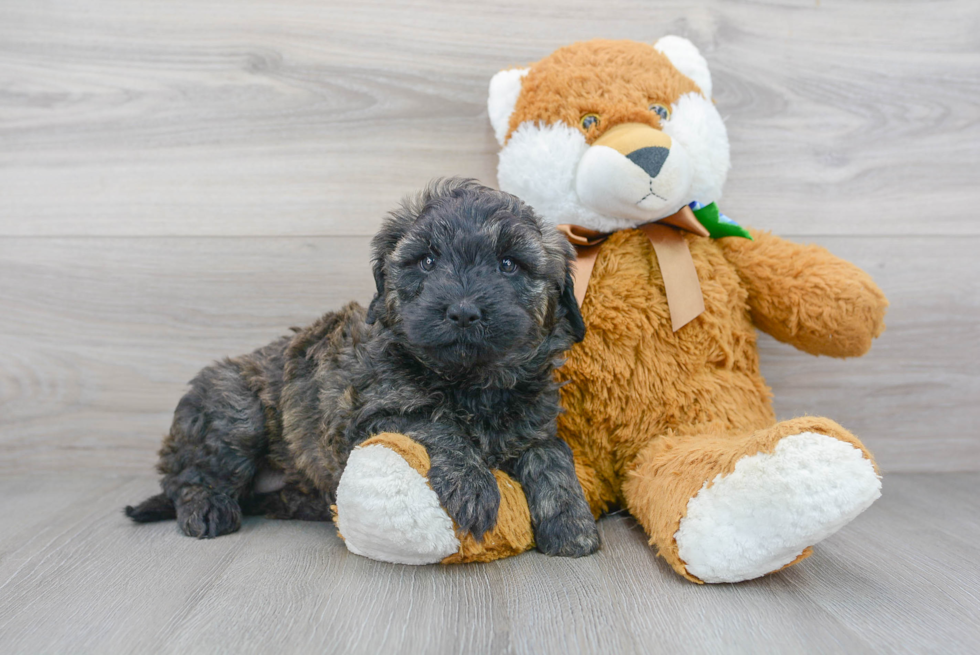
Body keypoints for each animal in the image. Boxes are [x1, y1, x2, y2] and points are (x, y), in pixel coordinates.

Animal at [126, 178, 600, 560]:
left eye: (509, 264)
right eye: (427, 261)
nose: (463, 311)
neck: (470, 382)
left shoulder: (533, 423)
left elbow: (552, 454)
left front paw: (572, 521)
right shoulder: (368, 415)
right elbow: (433, 423)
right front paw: (472, 485)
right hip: (235, 411)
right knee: (188, 475)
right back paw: (205, 507)